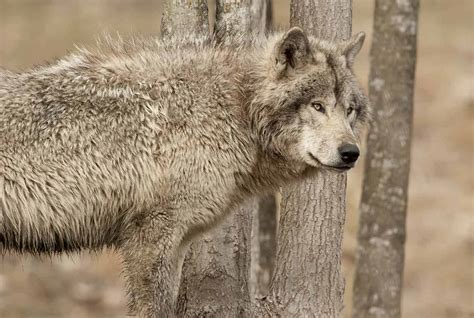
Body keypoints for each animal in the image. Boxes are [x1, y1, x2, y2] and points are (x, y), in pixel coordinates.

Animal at [0, 28, 370, 316]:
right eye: (317, 106)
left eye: (349, 110)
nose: (351, 153)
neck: (235, 109)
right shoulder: (151, 238)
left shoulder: (177, 243)